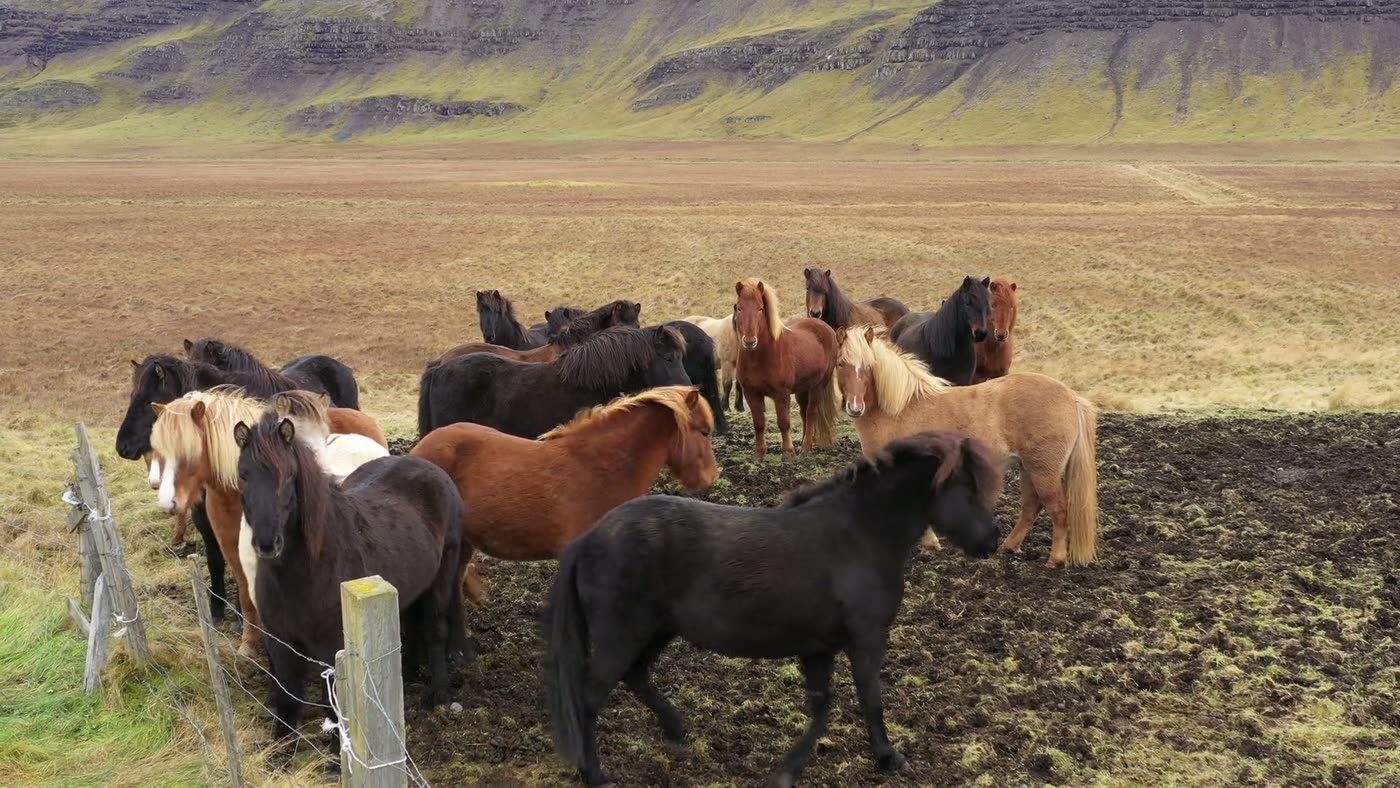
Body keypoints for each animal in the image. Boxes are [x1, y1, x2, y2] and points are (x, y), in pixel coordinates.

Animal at [149, 388, 389, 656]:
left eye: (189, 452)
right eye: (158, 450)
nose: (167, 501)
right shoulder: (232, 551)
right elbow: (245, 594)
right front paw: (248, 642)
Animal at [233, 413, 465, 740]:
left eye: (289, 477)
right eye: (243, 475)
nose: (267, 543)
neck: (304, 573)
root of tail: (431, 468)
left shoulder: (333, 648)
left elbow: (335, 707)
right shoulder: (281, 643)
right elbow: (287, 703)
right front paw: (280, 749)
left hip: (442, 576)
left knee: (434, 628)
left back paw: (440, 696)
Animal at [544, 431, 1002, 787]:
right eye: (968, 489)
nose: (993, 540)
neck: (858, 536)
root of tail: (587, 539)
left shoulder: (819, 648)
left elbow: (821, 707)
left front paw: (788, 771)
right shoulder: (866, 640)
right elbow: (869, 698)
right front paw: (888, 757)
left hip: (658, 630)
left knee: (636, 677)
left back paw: (677, 734)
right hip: (621, 634)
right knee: (588, 699)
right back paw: (595, 774)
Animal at [733, 279, 839, 459]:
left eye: (760, 308)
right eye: (739, 308)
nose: (749, 341)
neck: (760, 358)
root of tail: (825, 327)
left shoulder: (781, 394)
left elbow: (783, 422)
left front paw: (788, 453)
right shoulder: (751, 394)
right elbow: (759, 423)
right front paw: (759, 453)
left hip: (818, 386)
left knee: (811, 412)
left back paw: (806, 447)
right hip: (802, 388)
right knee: (803, 412)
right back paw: (803, 442)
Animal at [835, 327, 1098, 567]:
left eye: (868, 366)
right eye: (840, 364)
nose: (854, 407)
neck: (899, 409)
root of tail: (1072, 397)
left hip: (1044, 471)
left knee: (1058, 510)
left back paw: (1056, 560)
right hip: (1028, 468)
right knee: (1032, 507)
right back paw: (1010, 546)